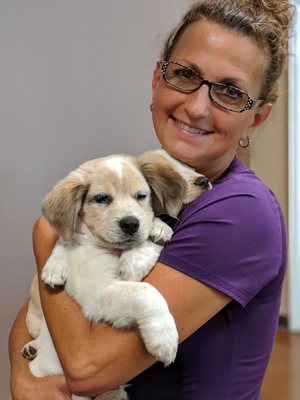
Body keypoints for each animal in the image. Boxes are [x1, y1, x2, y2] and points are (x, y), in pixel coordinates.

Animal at [22, 148, 211, 398]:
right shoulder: (97, 294)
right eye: (101, 199)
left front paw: (142, 251)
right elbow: (145, 292)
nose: (131, 224)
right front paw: (164, 337)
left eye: (142, 196)